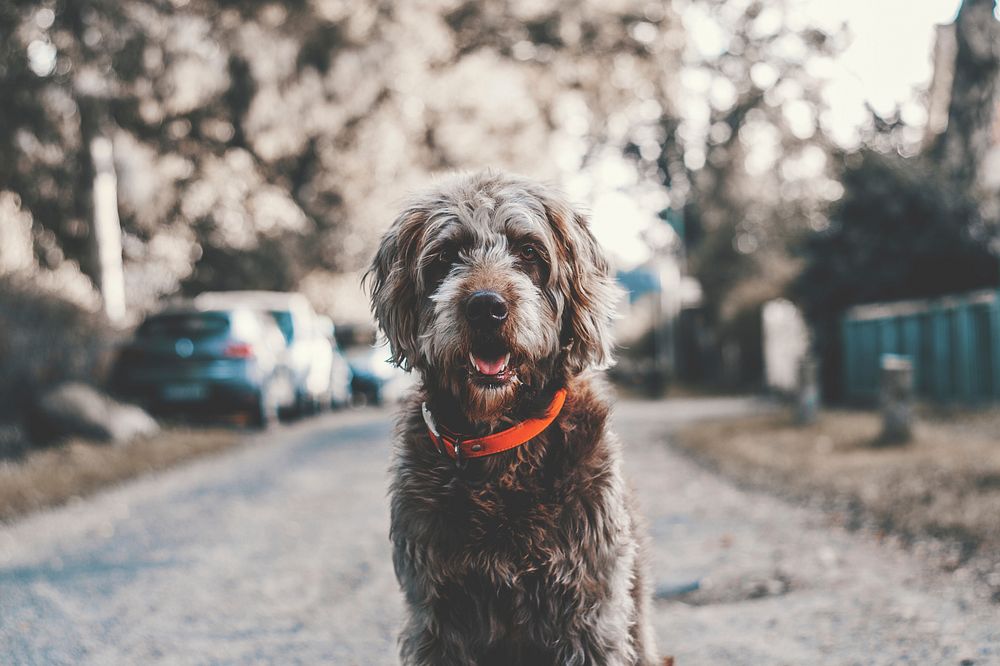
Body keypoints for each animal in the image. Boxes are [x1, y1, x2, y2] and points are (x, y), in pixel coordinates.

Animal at [366, 171, 656, 664]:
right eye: (447, 256)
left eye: (528, 251)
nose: (486, 307)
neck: (500, 444)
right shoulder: (435, 618)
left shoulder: (590, 610)